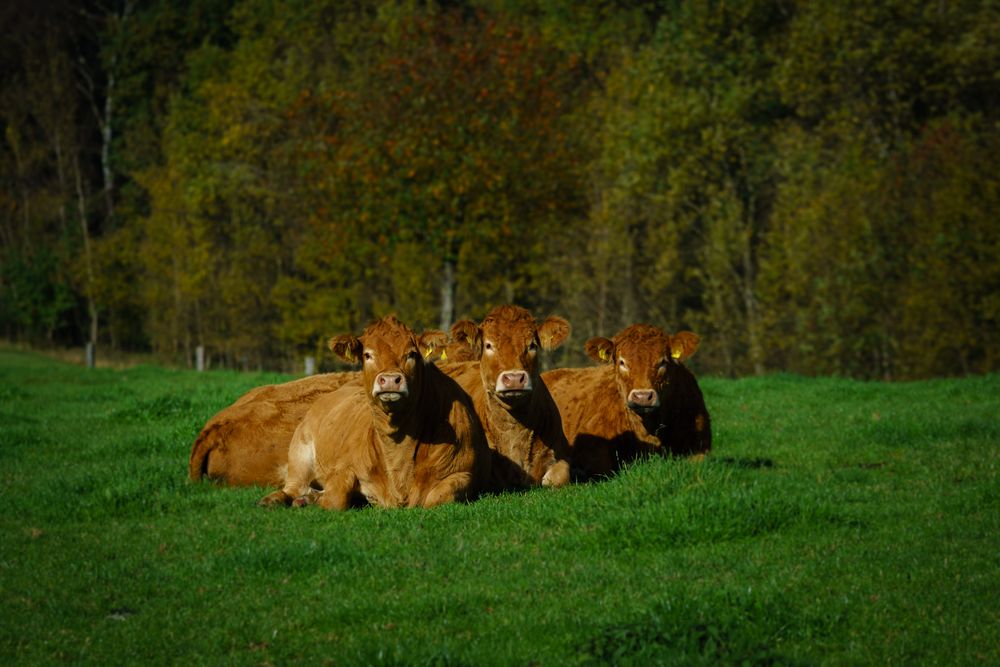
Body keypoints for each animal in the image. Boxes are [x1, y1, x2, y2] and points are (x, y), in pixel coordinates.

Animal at [260, 316, 490, 508]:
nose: (389, 380)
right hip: (300, 453)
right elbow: (335, 500)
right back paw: (275, 499)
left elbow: (435, 497)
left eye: (412, 354)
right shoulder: (343, 467)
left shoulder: (463, 474)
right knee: (293, 487)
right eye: (368, 355)